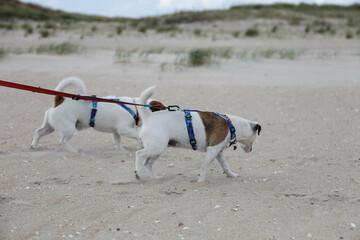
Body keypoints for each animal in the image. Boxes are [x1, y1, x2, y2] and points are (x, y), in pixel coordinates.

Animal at [30, 77, 165, 152]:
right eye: (163, 109)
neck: (135, 107)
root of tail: (60, 99)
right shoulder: (123, 129)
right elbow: (137, 135)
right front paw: (140, 142)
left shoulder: (116, 132)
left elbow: (117, 141)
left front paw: (120, 150)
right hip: (68, 128)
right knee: (62, 141)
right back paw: (73, 150)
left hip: (50, 126)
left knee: (38, 132)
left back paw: (34, 145)